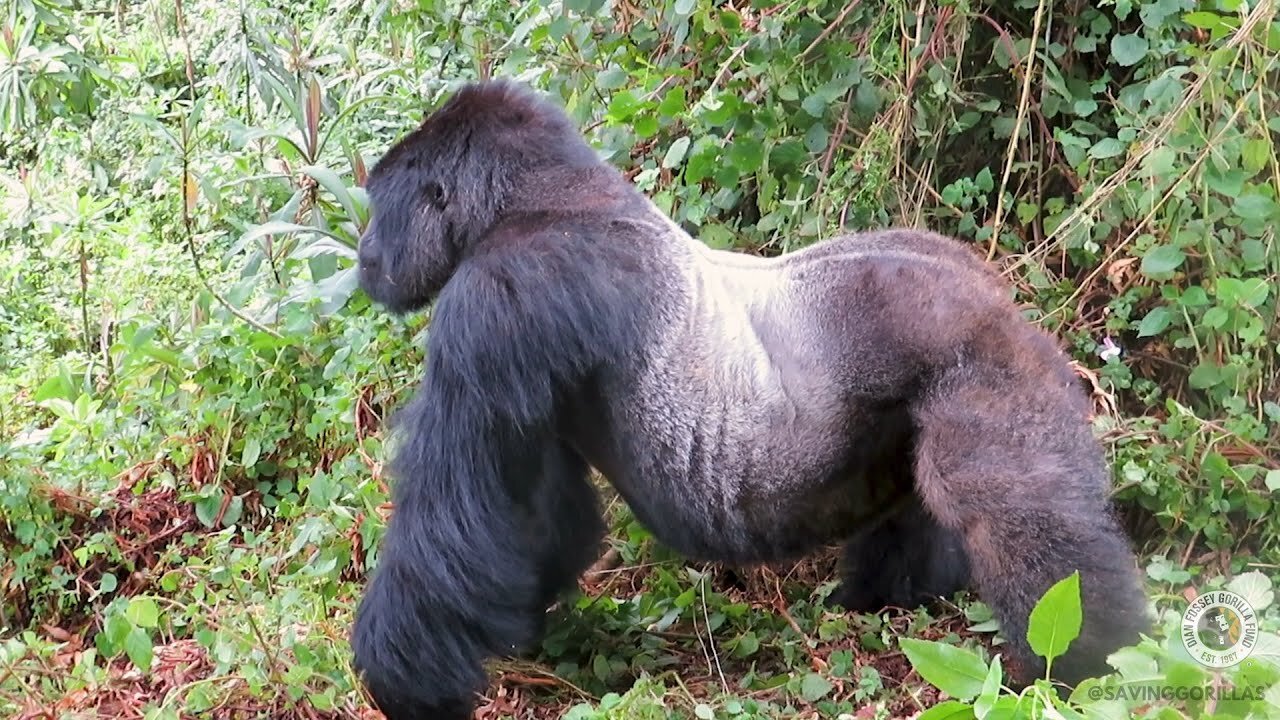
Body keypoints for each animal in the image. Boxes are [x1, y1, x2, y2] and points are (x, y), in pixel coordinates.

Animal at [348, 79, 1152, 717]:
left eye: (381, 209)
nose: (364, 256)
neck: (542, 195)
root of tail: (995, 290)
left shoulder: (497, 302)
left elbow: (455, 514)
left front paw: (401, 682)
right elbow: (539, 517)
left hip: (984, 358)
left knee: (1017, 519)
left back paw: (1098, 663)